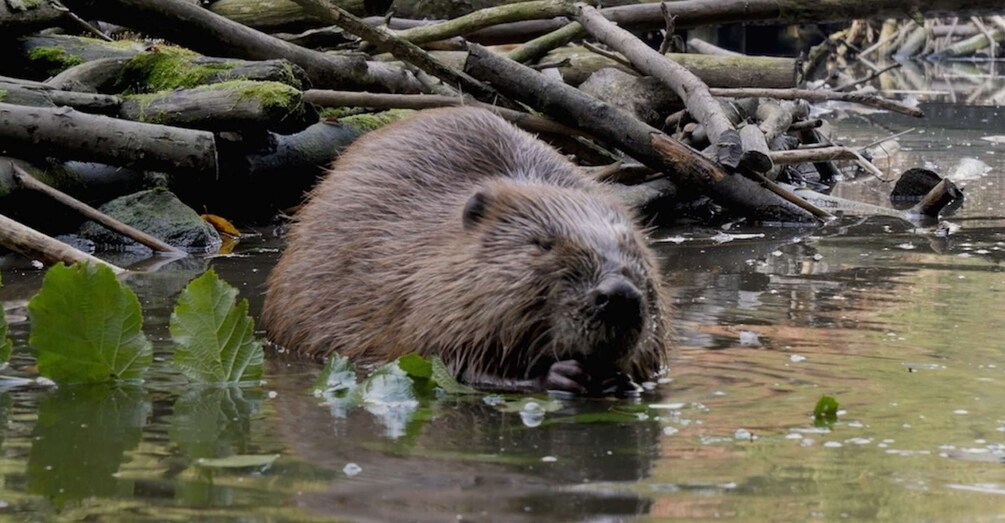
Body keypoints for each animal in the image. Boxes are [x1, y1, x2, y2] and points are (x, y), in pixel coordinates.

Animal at [263, 107, 671, 392]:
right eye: (543, 243)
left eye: (631, 246)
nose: (619, 295)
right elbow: (446, 358)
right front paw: (560, 376)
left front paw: (621, 380)